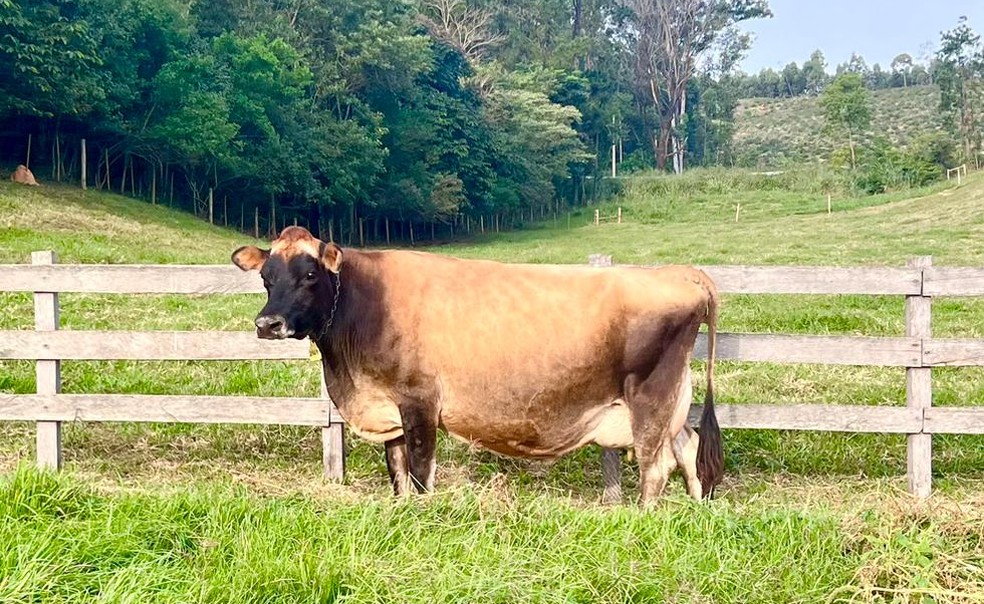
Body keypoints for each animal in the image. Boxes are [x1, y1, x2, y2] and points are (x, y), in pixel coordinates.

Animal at [231, 225, 724, 500]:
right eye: (266, 277)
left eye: (310, 273)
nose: (267, 323)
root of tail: (679, 272)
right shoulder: (389, 407)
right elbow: (397, 472)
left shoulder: (419, 401)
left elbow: (421, 471)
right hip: (671, 402)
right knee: (689, 447)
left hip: (650, 396)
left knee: (656, 465)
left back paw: (642, 517)